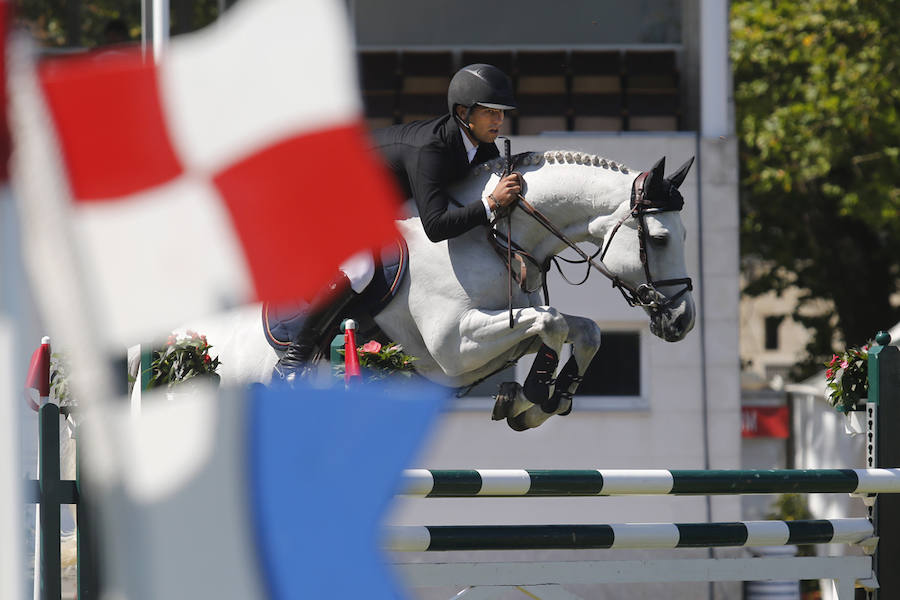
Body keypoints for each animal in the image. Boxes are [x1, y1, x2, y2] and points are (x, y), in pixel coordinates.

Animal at [183, 150, 696, 432]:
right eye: (660, 239)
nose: (683, 320)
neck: (489, 234)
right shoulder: (456, 346)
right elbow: (552, 324)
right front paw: (534, 391)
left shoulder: (506, 329)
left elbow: (583, 330)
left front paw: (538, 402)